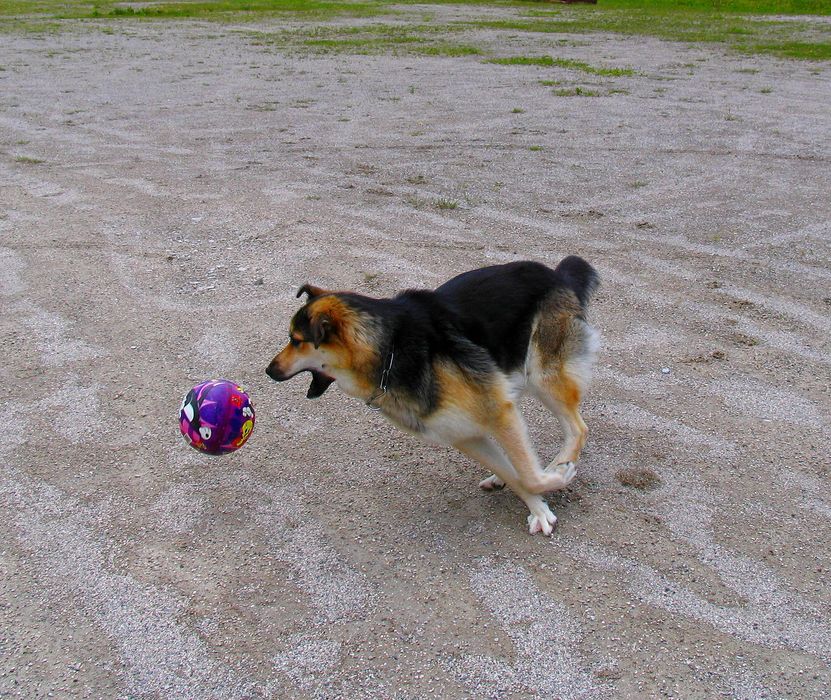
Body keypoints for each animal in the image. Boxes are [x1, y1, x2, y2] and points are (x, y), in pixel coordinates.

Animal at [270, 258, 600, 536]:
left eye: (296, 341)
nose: (268, 370)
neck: (389, 350)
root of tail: (555, 274)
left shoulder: (495, 410)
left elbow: (531, 475)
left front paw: (556, 479)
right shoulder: (464, 433)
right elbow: (520, 474)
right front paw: (537, 505)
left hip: (543, 377)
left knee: (578, 429)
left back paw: (558, 464)